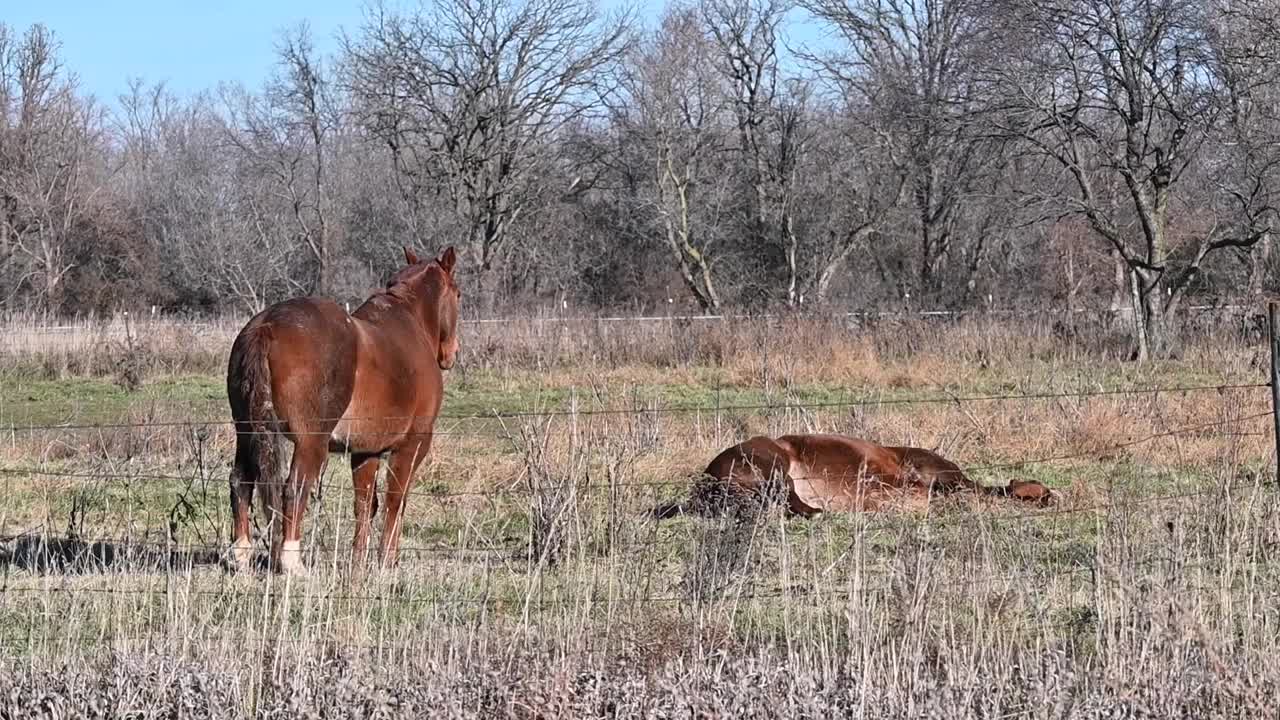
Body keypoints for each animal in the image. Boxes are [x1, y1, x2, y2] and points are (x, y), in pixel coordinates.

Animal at [227, 245, 463, 571]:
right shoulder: (413, 444)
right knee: (295, 489)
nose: (451, 353)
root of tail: (267, 325)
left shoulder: (366, 451)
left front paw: (358, 561)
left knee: (240, 481)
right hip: (310, 443)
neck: (411, 323)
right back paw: (293, 563)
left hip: (248, 432)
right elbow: (395, 500)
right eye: (458, 294)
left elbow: (365, 504)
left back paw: (241, 554)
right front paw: (386, 561)